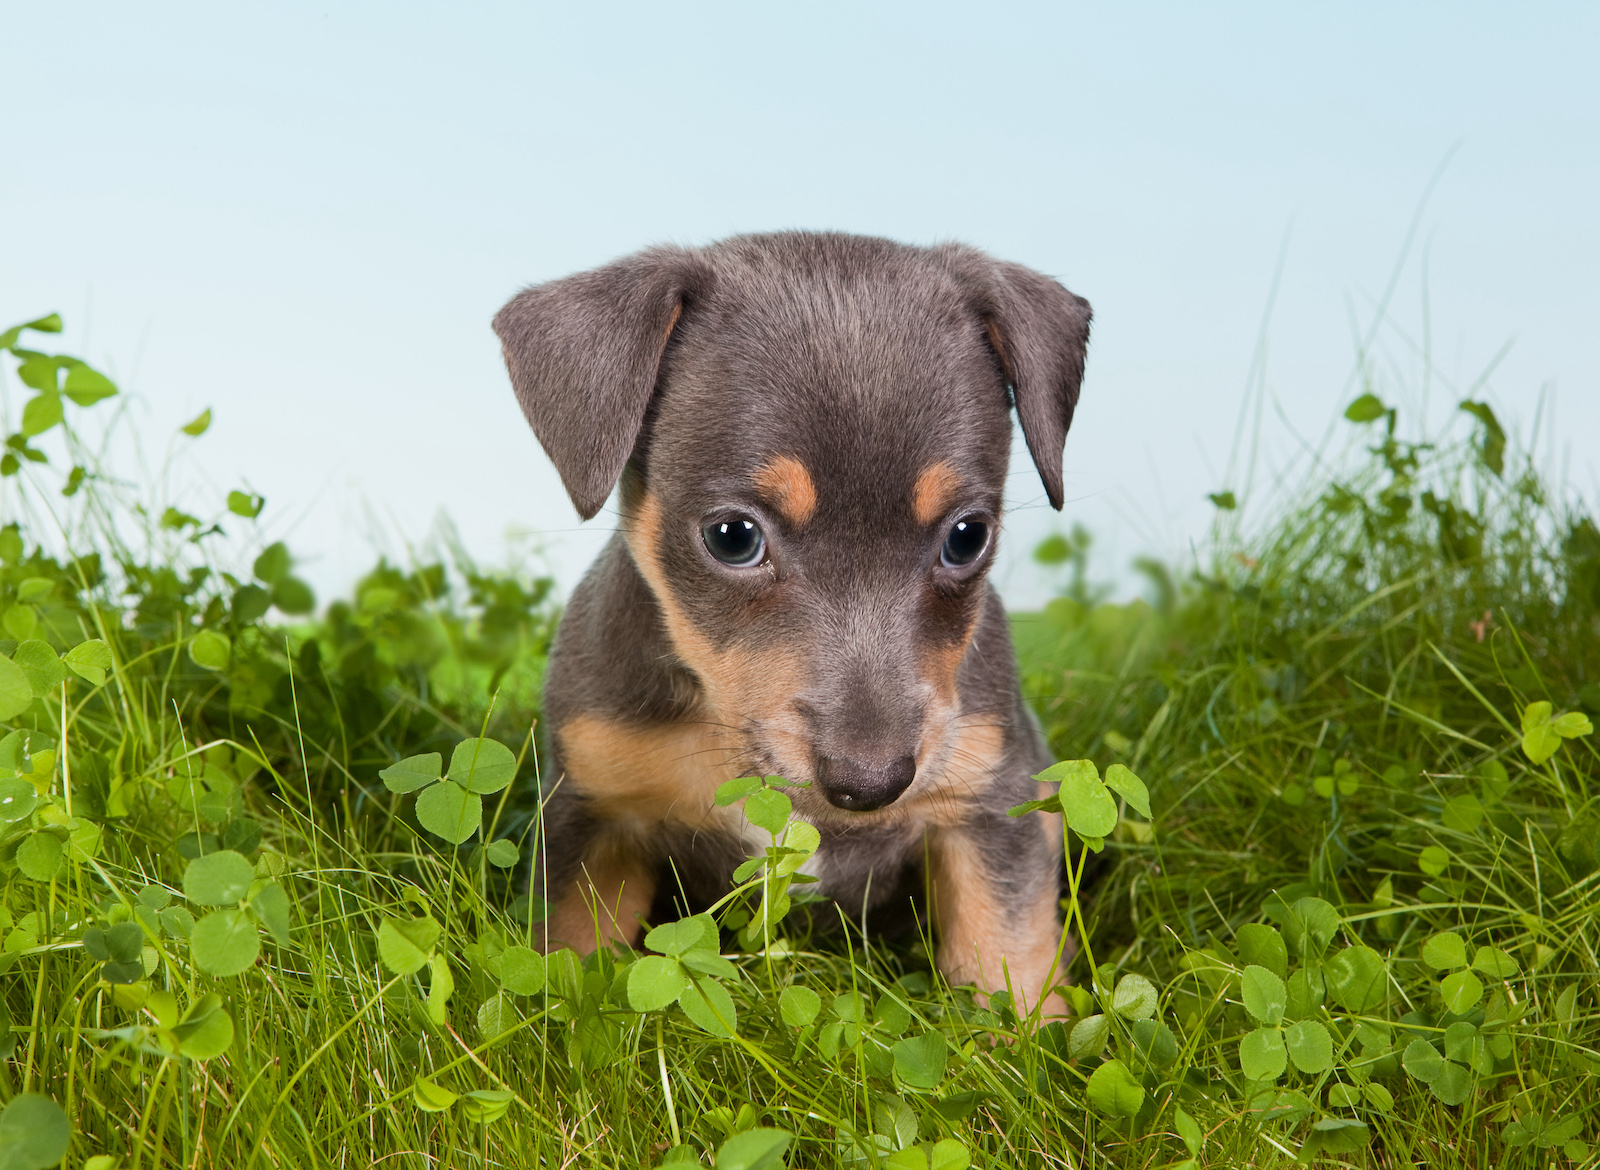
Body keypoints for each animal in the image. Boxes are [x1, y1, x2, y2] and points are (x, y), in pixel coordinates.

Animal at [492, 230, 1094, 1017]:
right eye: (732, 537)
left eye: (968, 537)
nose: (870, 783)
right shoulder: (594, 814)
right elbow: (567, 965)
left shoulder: (991, 803)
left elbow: (1008, 960)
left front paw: (1026, 1035)